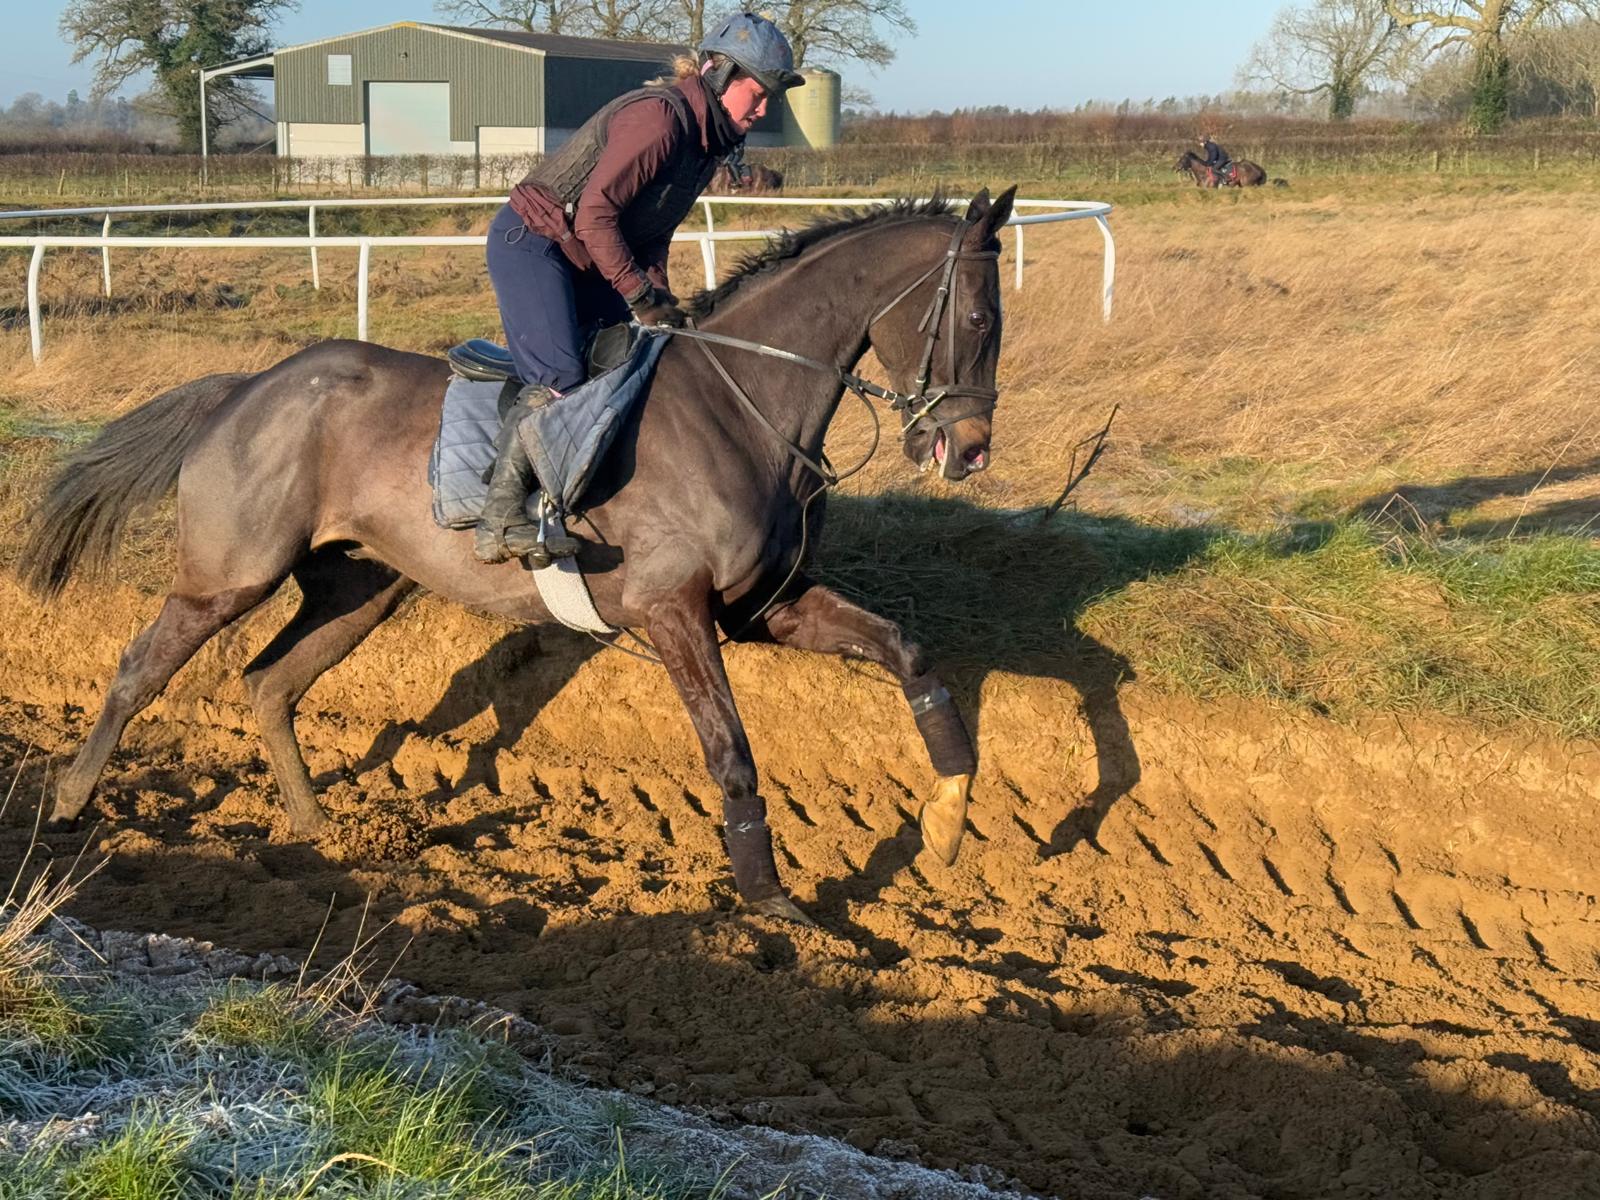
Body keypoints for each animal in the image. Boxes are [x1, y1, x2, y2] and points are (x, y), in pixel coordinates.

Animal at [18, 188, 1017, 928]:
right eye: (977, 317)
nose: (968, 449)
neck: (744, 404)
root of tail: (247, 386)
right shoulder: (673, 611)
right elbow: (731, 752)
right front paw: (771, 899)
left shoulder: (767, 605)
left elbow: (908, 653)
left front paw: (948, 820)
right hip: (229, 575)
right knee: (140, 669)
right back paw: (67, 804)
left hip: (358, 588)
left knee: (269, 682)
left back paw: (315, 829)